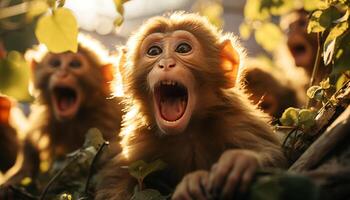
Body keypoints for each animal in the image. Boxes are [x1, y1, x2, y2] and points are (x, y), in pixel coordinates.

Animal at [94, 12, 286, 200]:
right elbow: (116, 177)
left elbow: (276, 155)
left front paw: (242, 160)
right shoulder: (140, 138)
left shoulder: (236, 118)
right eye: (154, 51)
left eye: (183, 49)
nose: (165, 63)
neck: (188, 131)